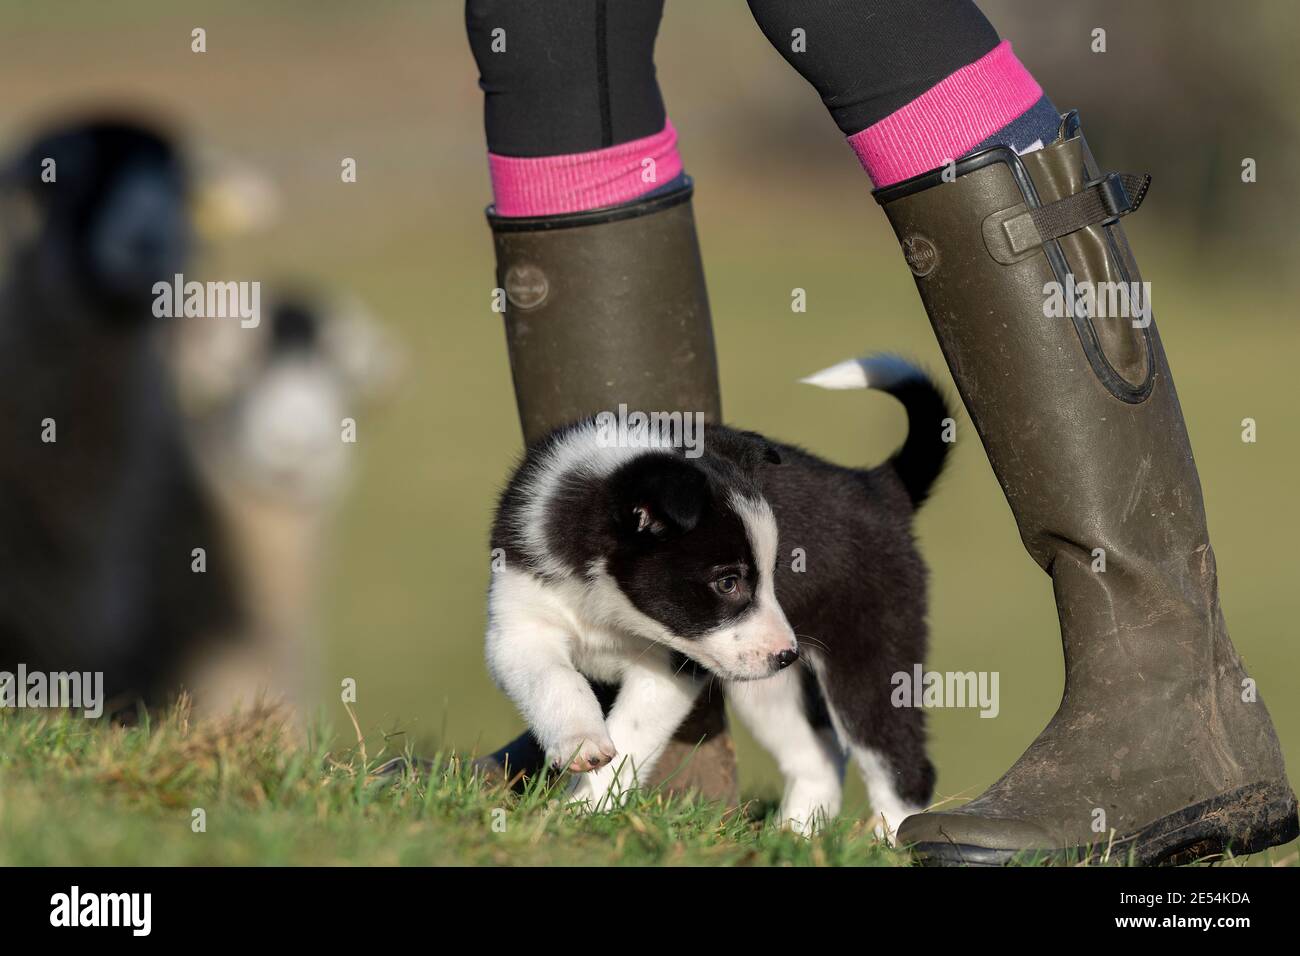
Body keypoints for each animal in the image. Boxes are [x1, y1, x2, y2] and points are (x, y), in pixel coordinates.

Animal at [488, 356, 956, 842]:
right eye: (728, 583)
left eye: (772, 572)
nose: (788, 653)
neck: (608, 604)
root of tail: (877, 486)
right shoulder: (518, 626)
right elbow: (553, 681)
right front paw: (581, 744)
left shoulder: (671, 667)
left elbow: (631, 734)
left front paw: (581, 809)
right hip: (768, 686)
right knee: (820, 754)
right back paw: (792, 837)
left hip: (868, 653)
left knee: (900, 763)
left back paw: (885, 843)